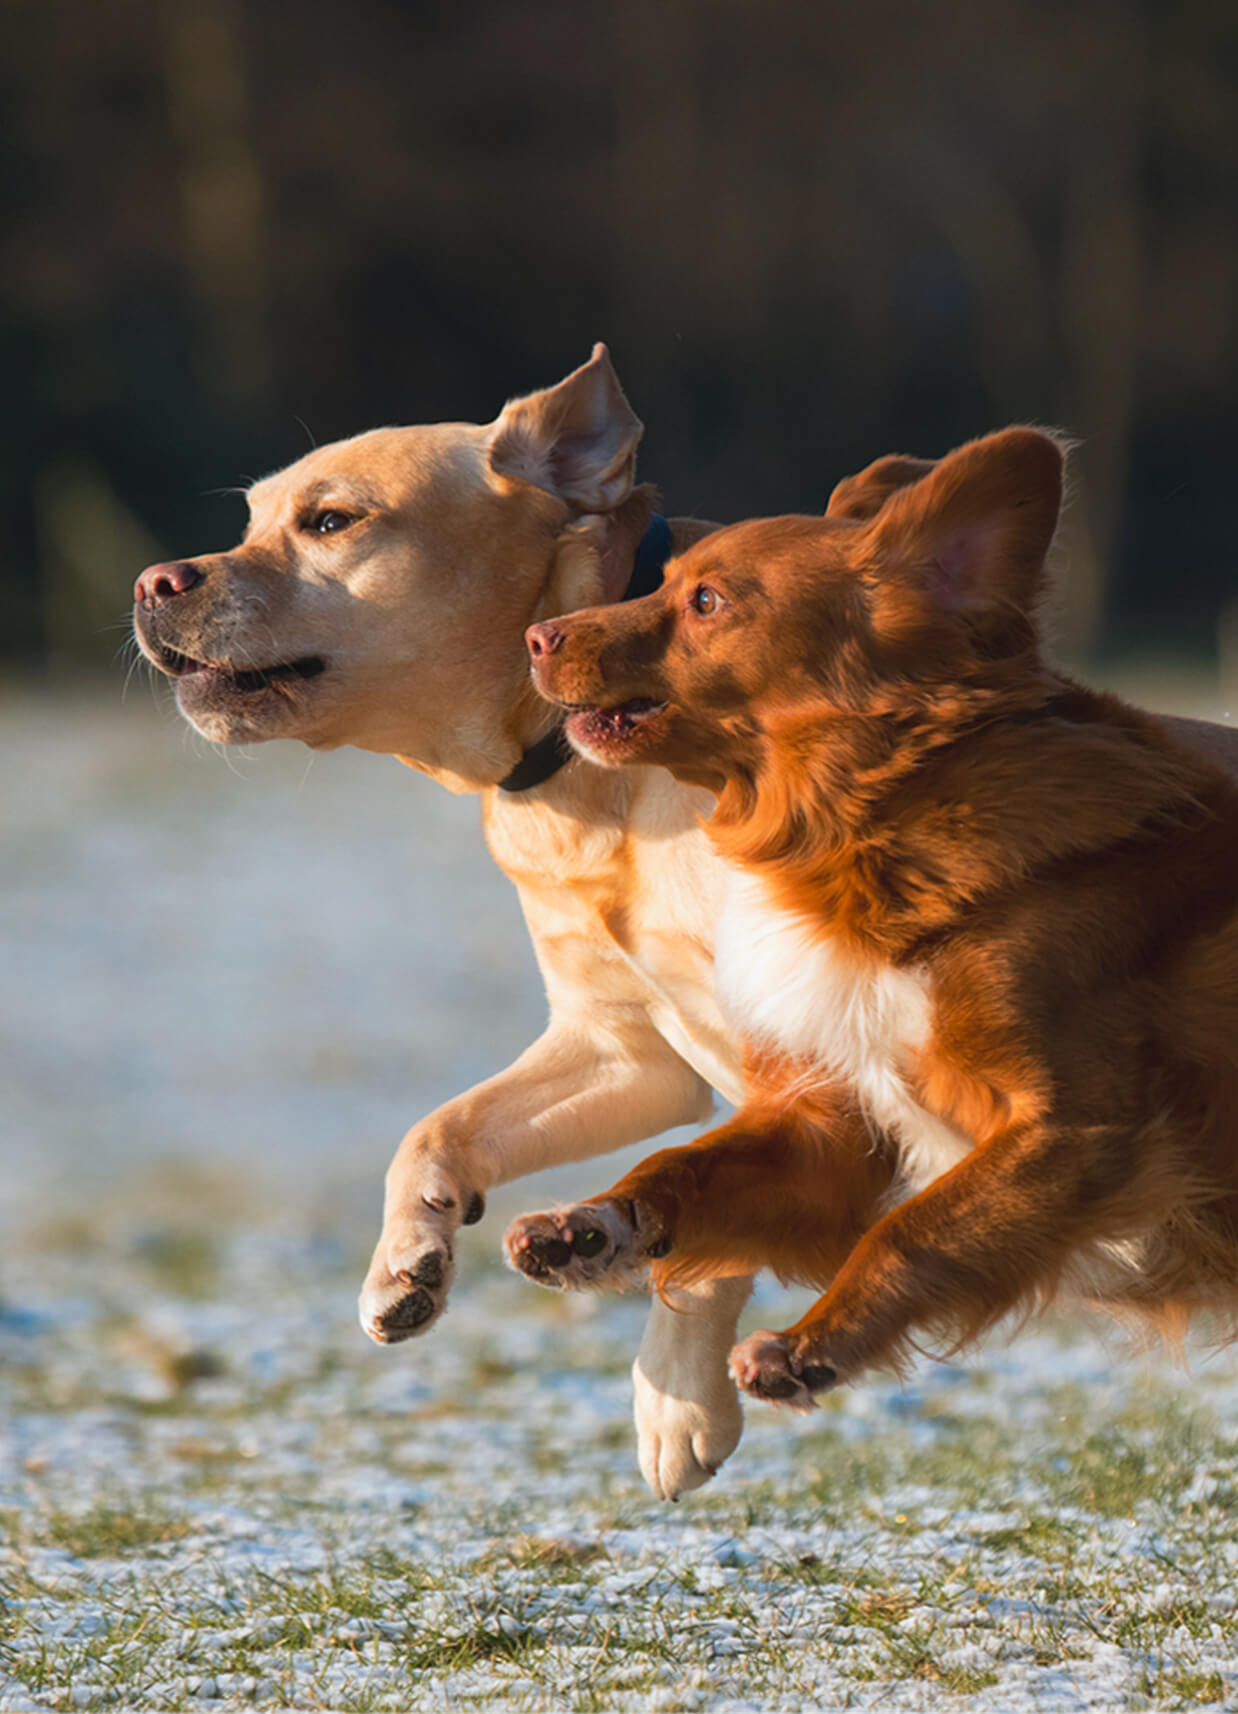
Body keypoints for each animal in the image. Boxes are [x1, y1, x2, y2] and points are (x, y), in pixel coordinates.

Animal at [500, 425, 1234, 1405]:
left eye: (706, 600)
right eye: (667, 581)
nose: (536, 636)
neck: (859, 834)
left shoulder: (1081, 1128)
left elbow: (919, 1229)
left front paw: (811, 1343)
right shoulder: (834, 1125)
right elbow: (687, 1166)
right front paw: (592, 1224)